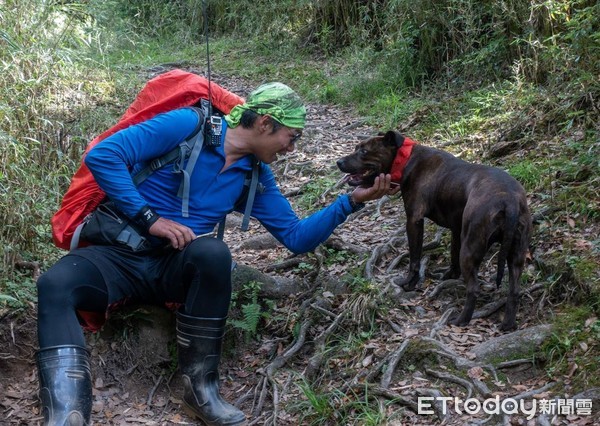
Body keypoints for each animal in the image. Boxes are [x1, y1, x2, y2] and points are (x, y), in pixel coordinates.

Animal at [336, 131, 532, 332]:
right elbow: (453, 254)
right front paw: (450, 275)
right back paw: (508, 324)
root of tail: (509, 201)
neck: (405, 159)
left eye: (364, 151)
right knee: (514, 290)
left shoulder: (414, 220)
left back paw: (461, 320)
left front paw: (409, 283)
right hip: (516, 254)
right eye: (356, 148)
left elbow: (414, 258)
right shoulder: (457, 229)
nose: (339, 162)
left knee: (474, 288)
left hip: (471, 247)